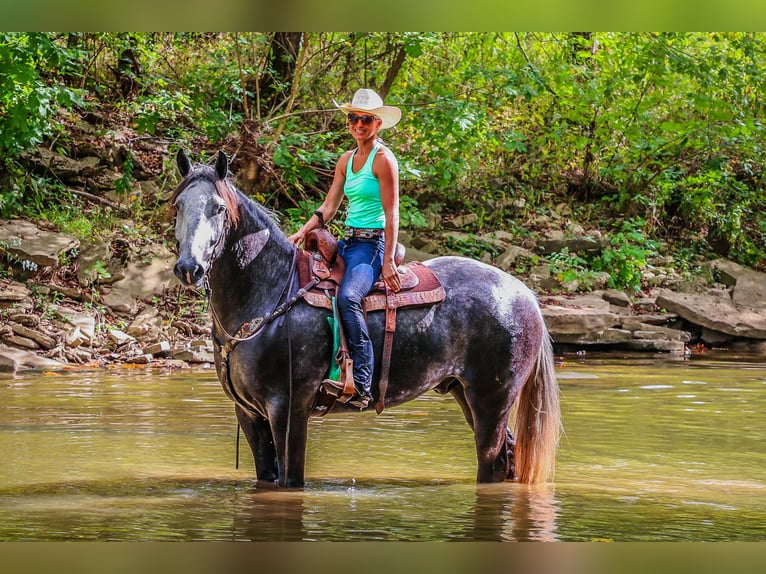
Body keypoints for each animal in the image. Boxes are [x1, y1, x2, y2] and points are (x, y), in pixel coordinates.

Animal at [171, 151, 560, 488]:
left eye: (219, 208)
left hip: (492, 400)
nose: (189, 268)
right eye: (178, 206)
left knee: (492, 462)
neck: (271, 291)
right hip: (465, 394)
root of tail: (524, 293)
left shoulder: (288, 410)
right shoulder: (250, 415)